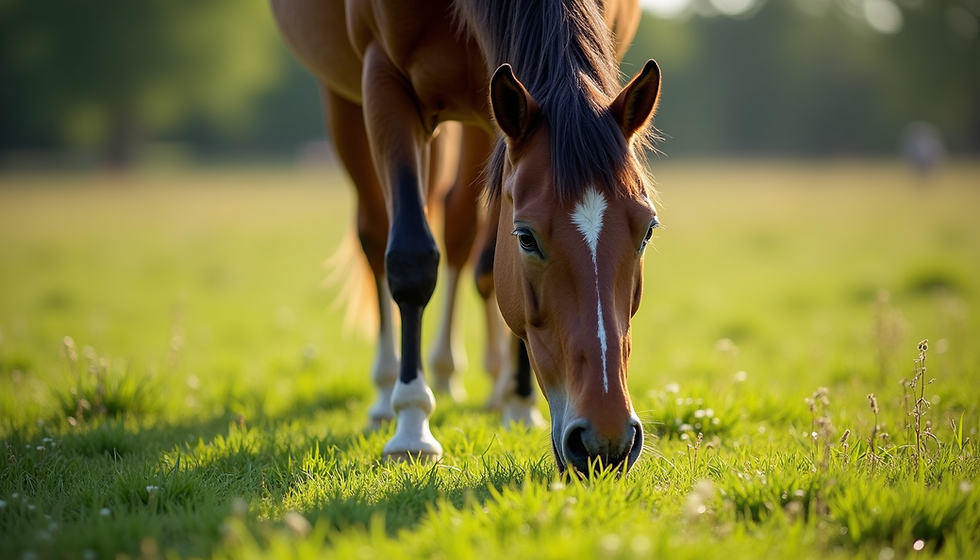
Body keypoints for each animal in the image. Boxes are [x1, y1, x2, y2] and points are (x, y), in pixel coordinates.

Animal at [272, 0, 662, 475]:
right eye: (526, 238)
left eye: (647, 231)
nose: (606, 441)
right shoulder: (384, 80)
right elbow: (410, 258)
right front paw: (412, 425)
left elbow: (486, 264)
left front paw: (519, 403)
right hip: (346, 99)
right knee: (377, 234)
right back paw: (389, 391)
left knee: (462, 240)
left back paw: (483, 382)